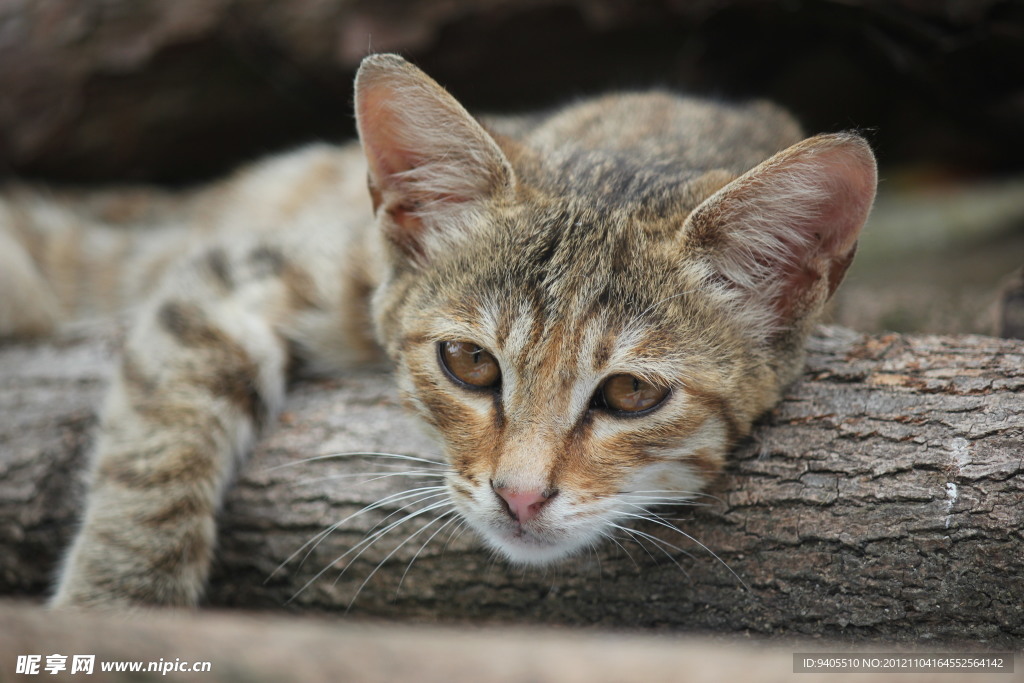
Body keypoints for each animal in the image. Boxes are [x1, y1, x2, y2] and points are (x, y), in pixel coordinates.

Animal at [2, 54, 880, 610]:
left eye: (631, 391)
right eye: (468, 362)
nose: (519, 496)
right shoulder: (245, 273)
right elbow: (156, 453)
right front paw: (116, 607)